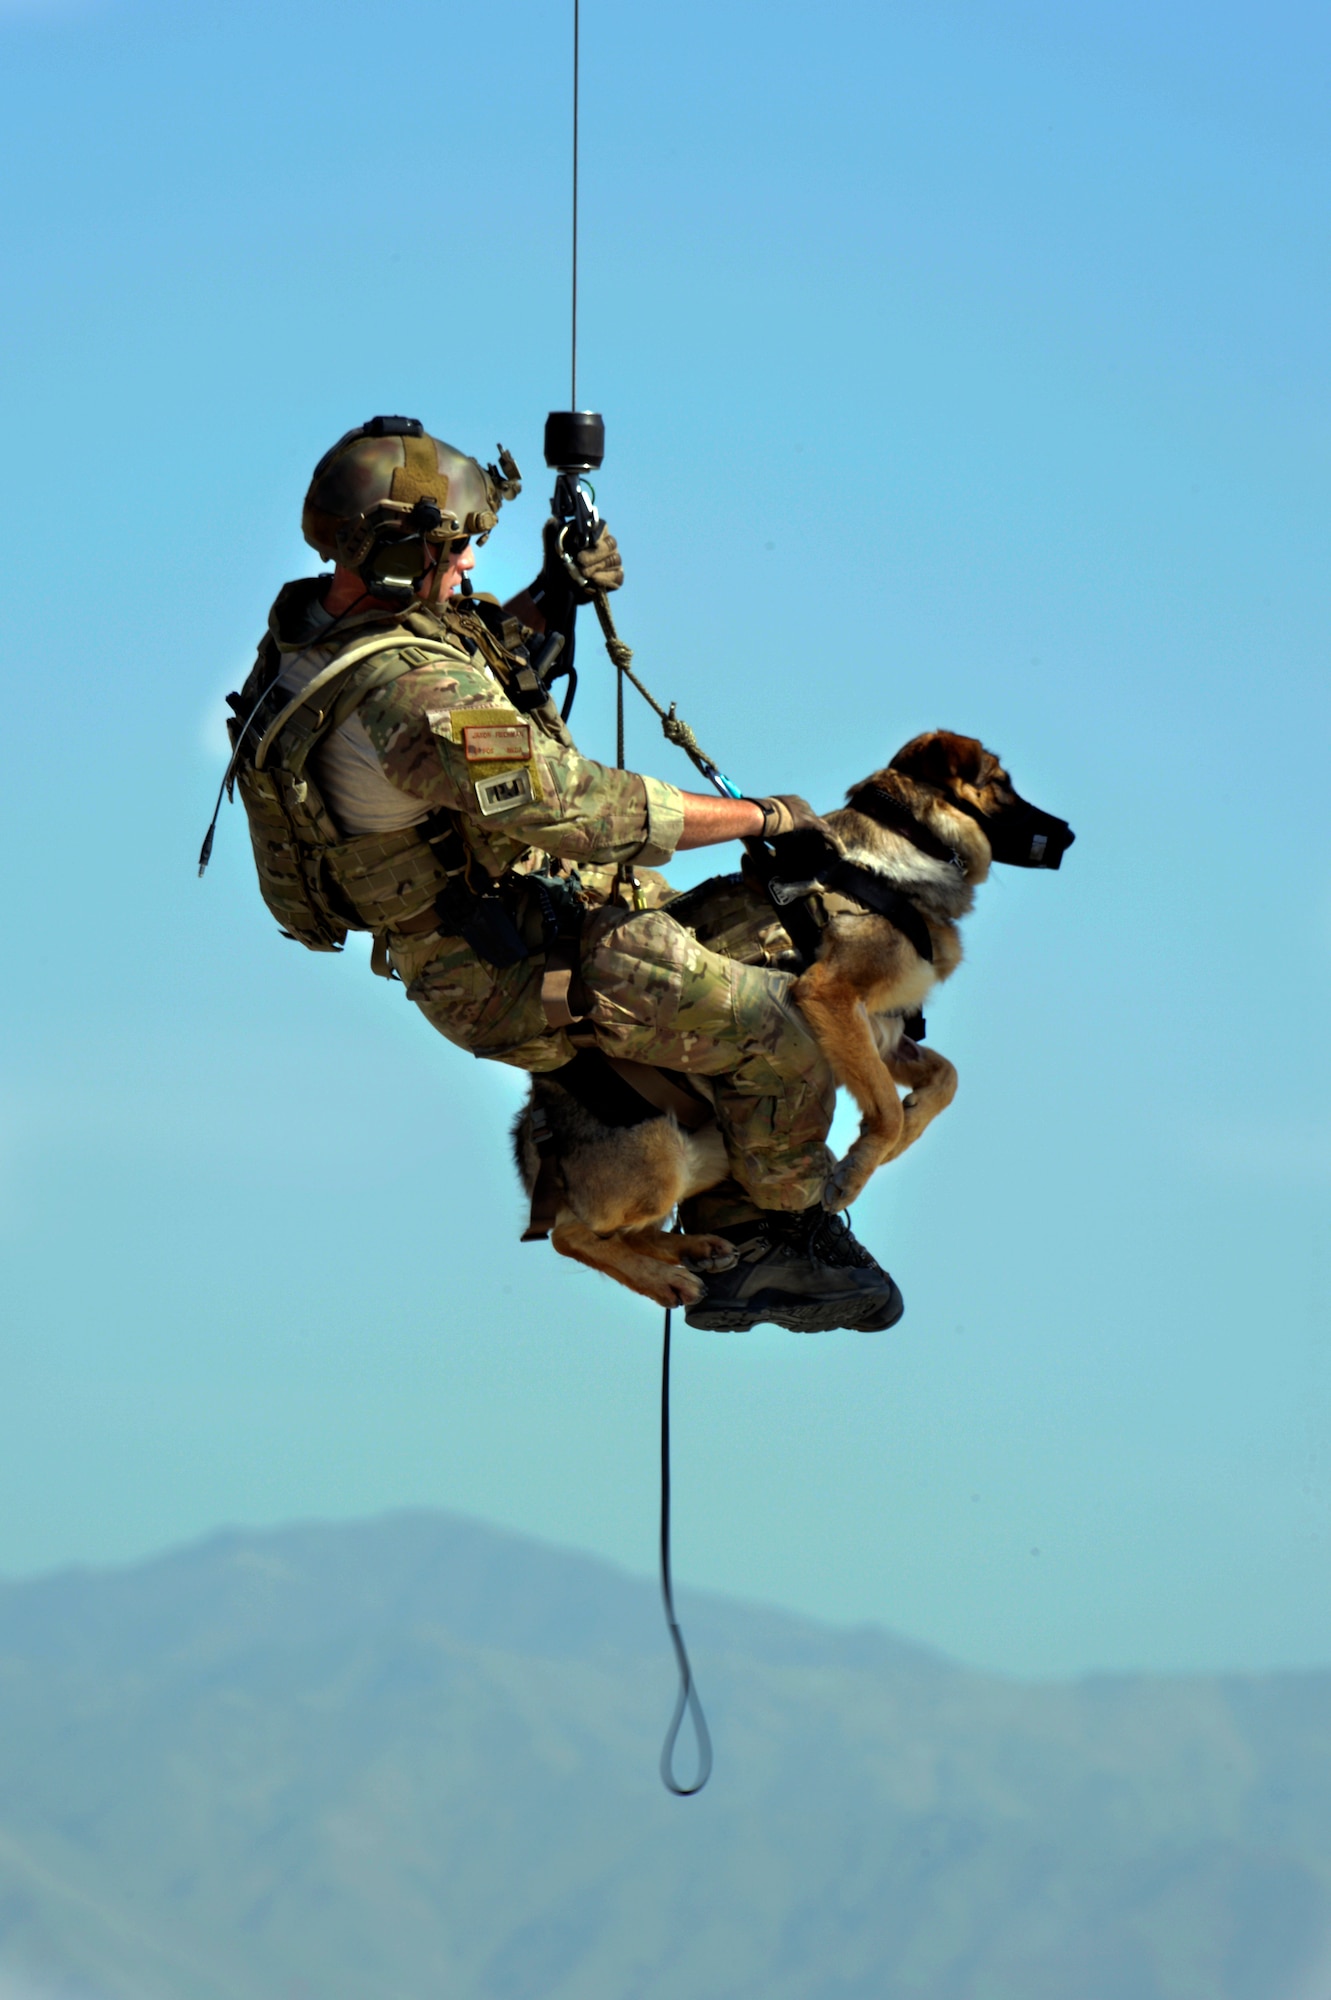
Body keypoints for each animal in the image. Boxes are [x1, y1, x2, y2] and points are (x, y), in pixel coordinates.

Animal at [507, 736, 1071, 1312]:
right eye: (1000, 782)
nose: (1069, 835)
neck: (905, 853)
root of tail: (534, 1143)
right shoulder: (829, 996)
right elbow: (888, 1108)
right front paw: (856, 1170)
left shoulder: (881, 1032)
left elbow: (944, 1079)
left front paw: (900, 1134)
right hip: (661, 1157)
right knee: (571, 1235)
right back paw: (665, 1277)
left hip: (708, 1155)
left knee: (628, 1231)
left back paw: (697, 1248)